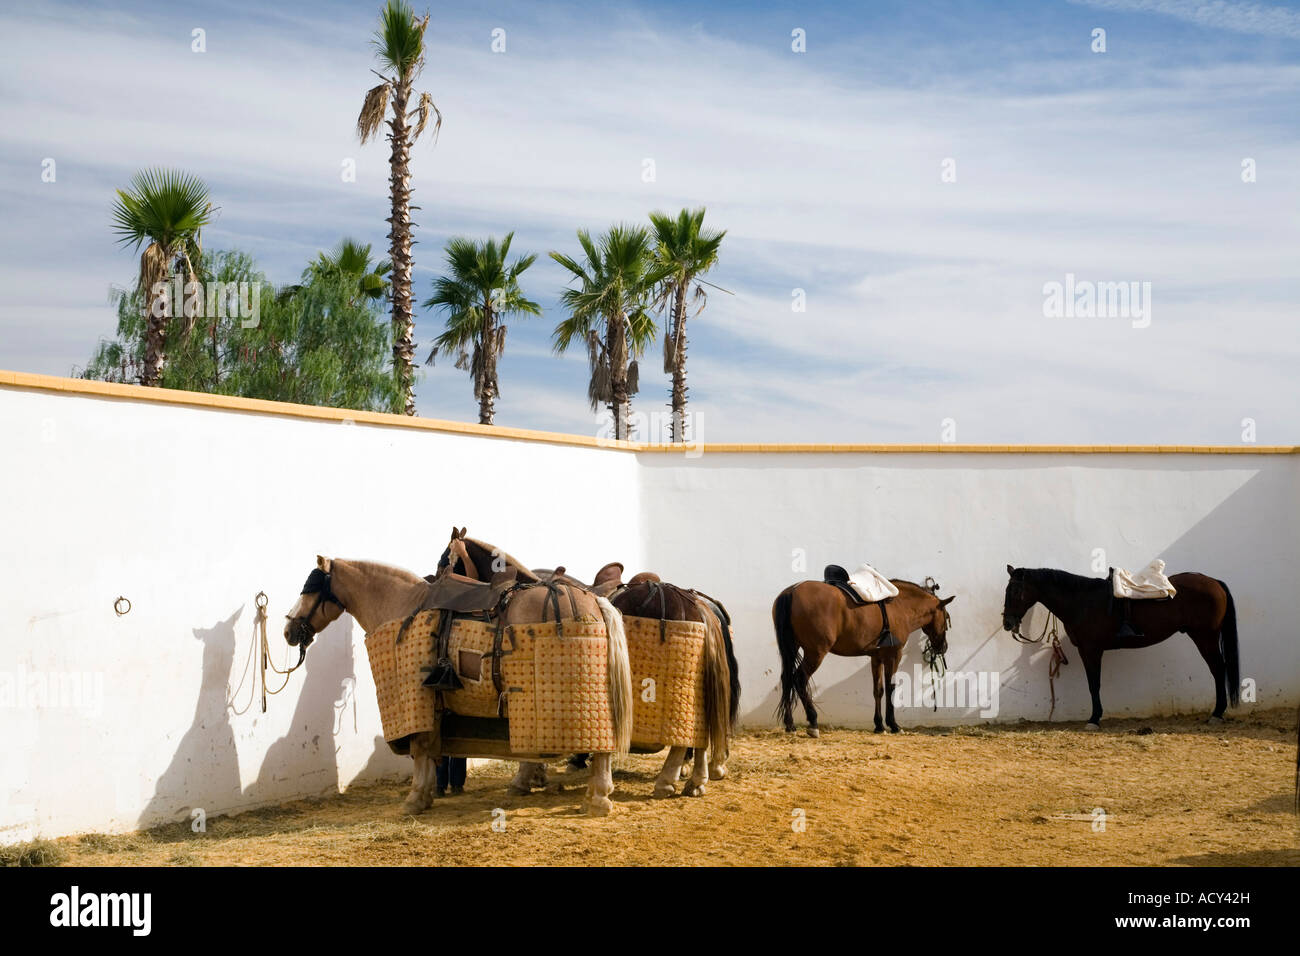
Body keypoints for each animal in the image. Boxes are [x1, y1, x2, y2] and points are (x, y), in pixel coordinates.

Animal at [284, 554, 634, 816]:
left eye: (311, 587)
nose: (289, 630)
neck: (402, 607)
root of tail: (594, 600)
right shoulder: (435, 704)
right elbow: (428, 747)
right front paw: (426, 794)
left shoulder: (418, 699)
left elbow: (419, 747)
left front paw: (414, 799)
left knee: (602, 745)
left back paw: (598, 799)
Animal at [769, 580, 956, 738]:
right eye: (947, 617)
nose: (943, 647)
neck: (900, 606)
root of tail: (792, 590)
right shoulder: (893, 656)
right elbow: (890, 687)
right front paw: (893, 725)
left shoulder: (876, 658)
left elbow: (878, 690)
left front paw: (879, 725)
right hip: (815, 653)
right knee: (799, 679)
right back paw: (813, 723)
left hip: (792, 648)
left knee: (787, 679)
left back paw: (790, 725)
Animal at [1003, 564, 1237, 728]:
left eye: (1014, 591)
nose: (1007, 623)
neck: (1081, 601)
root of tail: (1214, 582)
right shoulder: (1087, 650)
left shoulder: (1091, 650)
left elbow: (1094, 684)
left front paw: (1094, 719)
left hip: (1205, 637)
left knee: (1218, 669)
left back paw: (1217, 714)